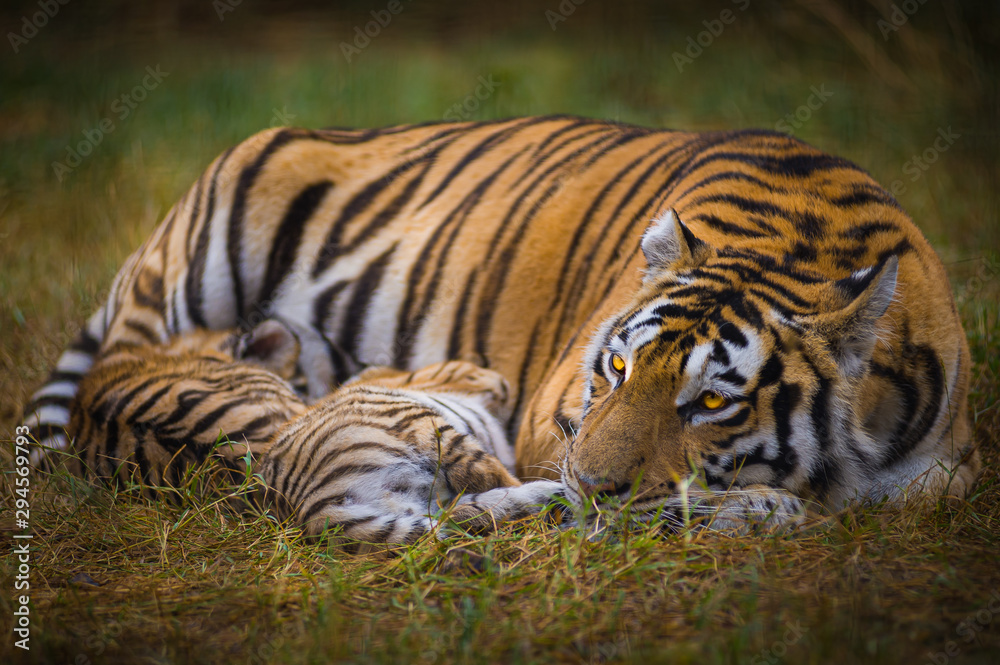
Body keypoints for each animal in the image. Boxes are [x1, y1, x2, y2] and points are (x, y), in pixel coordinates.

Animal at [257, 360, 563, 543]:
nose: (505, 387)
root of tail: (309, 507)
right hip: (425, 424)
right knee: (480, 474)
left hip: (425, 504)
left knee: (468, 509)